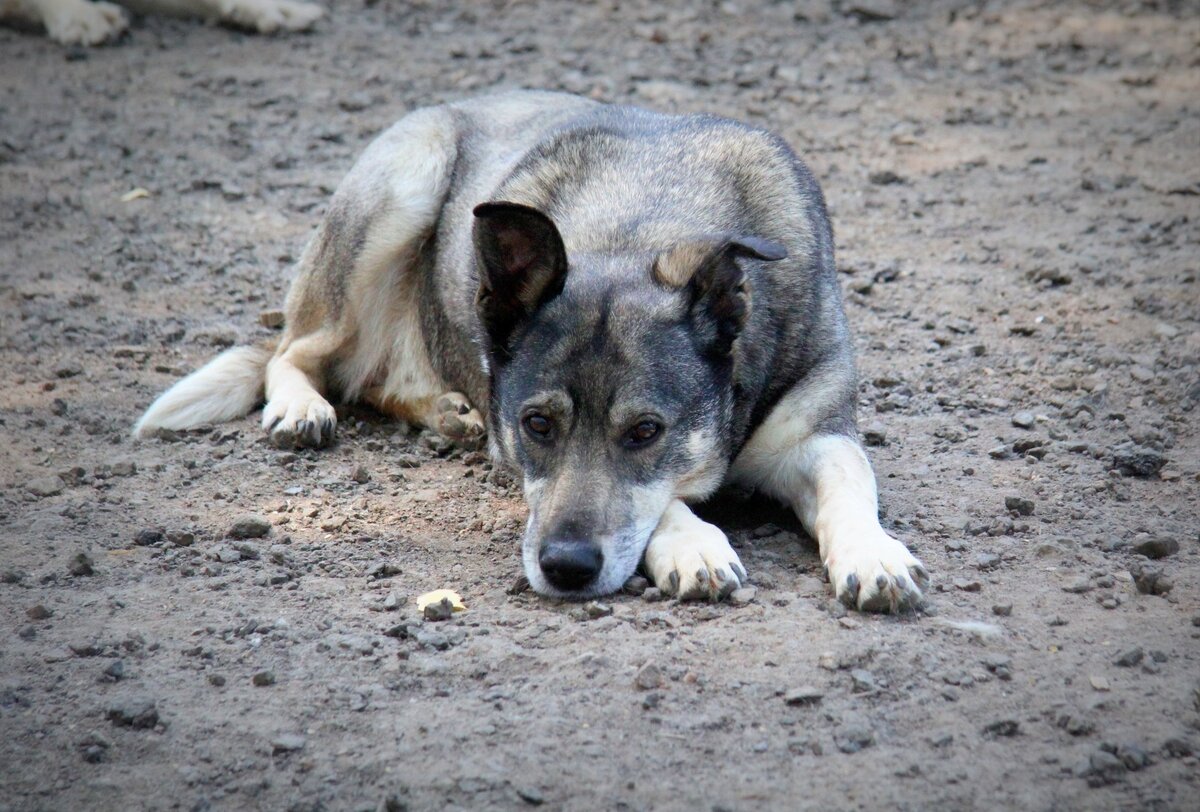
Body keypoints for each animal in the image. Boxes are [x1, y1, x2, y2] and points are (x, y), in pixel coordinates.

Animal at [138, 90, 926, 609]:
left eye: (646, 431)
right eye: (538, 425)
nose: (566, 568)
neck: (643, 221)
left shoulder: (817, 434)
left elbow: (850, 483)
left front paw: (873, 553)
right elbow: (666, 503)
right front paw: (694, 541)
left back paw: (447, 409)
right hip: (403, 185)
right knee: (295, 351)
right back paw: (303, 407)